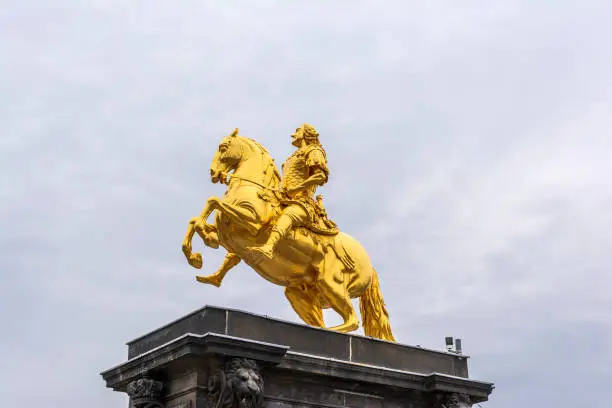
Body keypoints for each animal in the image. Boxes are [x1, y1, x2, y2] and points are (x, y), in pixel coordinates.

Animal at [180, 131, 396, 342]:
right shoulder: (227, 235)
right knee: (324, 320)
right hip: (298, 293)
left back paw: (322, 334)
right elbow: (196, 221)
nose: (213, 173)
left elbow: (212, 201)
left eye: (223, 147)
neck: (253, 189)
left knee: (351, 320)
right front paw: (195, 256)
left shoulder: (253, 222)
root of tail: (370, 266)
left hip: (332, 284)